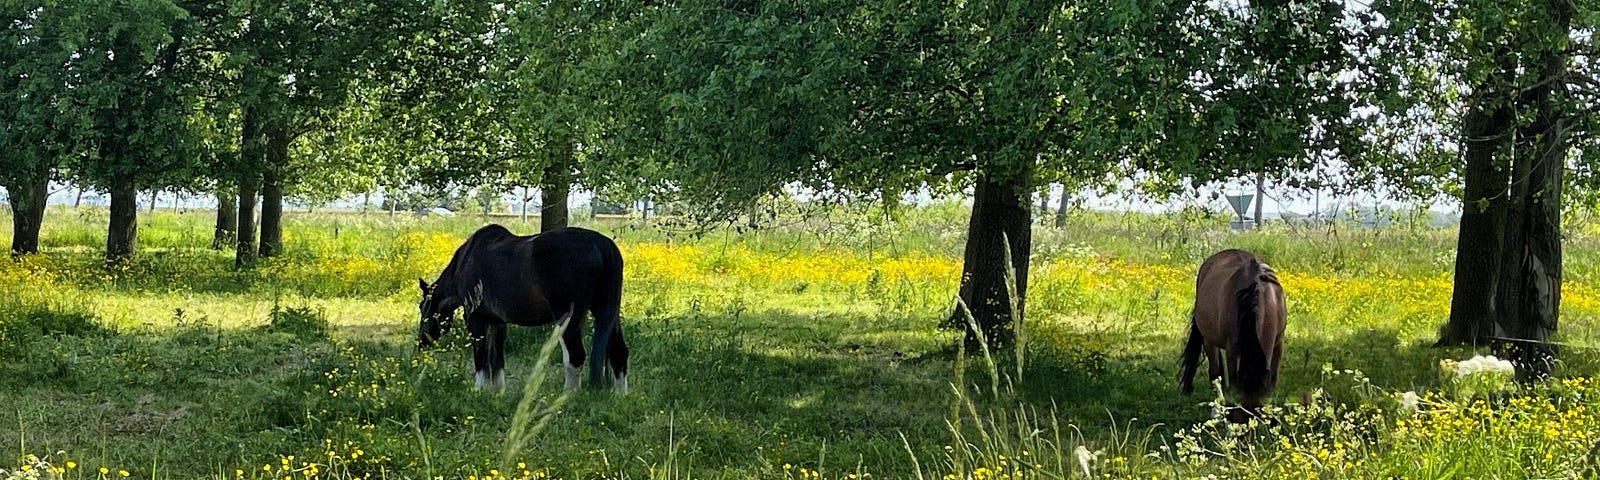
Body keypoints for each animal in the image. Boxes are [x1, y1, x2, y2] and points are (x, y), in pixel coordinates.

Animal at [422, 222, 627, 392]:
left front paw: (479, 390)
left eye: (422, 307)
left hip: (569, 318)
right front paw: (496, 391)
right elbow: (496, 358)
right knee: (618, 352)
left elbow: (481, 356)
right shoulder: (497, 322)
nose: (421, 344)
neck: (467, 260)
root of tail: (600, 243)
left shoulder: (475, 319)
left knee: (575, 357)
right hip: (607, 313)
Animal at [1177, 249, 1286, 422]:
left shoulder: (1278, 345)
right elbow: (1233, 383)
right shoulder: (1233, 350)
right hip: (1209, 340)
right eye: (1238, 416)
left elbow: (1272, 384)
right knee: (1215, 374)